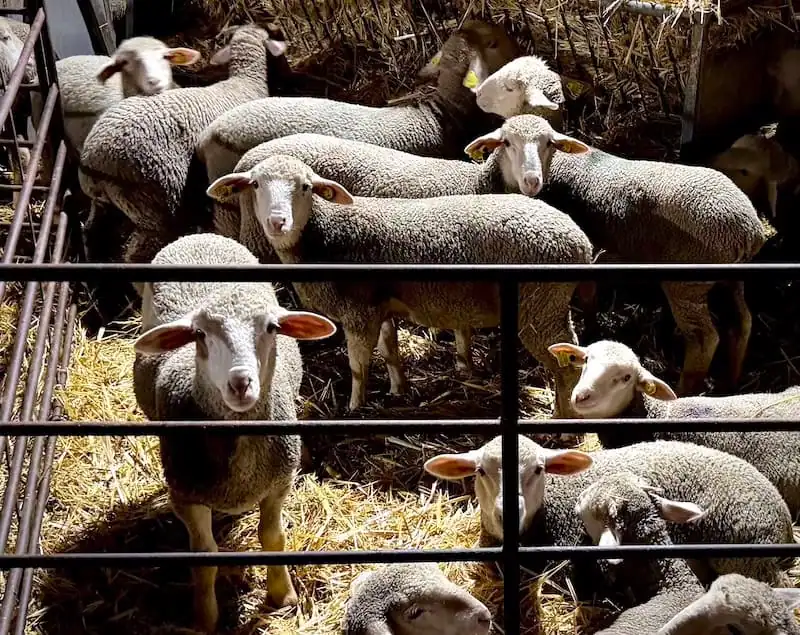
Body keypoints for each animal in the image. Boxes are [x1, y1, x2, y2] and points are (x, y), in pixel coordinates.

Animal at [132, 233, 337, 633]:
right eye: (198, 333)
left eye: (272, 328)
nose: (240, 383)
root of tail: (199, 235)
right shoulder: (185, 494)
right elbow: (204, 556)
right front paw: (205, 617)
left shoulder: (278, 484)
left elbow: (272, 537)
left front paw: (282, 595)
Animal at [206, 154, 594, 417]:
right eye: (256, 185)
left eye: (305, 187)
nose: (278, 222)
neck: (325, 237)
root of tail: (581, 241)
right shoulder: (380, 306)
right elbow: (390, 350)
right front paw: (397, 390)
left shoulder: (358, 311)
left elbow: (358, 365)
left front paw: (354, 407)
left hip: (539, 304)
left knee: (567, 362)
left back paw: (564, 418)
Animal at [473, 61, 767, 396]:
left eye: (510, 85)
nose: (477, 94)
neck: (560, 159)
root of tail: (749, 231)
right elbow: (590, 296)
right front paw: (592, 327)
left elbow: (587, 294)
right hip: (732, 276)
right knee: (742, 323)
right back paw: (732, 381)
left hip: (686, 282)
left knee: (704, 338)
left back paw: (684, 389)